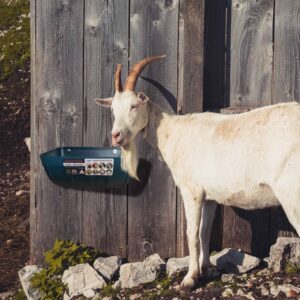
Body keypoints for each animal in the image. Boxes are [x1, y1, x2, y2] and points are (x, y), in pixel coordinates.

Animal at [95, 55, 300, 288]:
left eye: (134, 106)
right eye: (113, 110)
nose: (116, 136)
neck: (174, 133)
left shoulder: (191, 191)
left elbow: (191, 232)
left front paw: (189, 278)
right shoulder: (209, 197)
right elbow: (204, 231)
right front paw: (207, 268)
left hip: (292, 193)